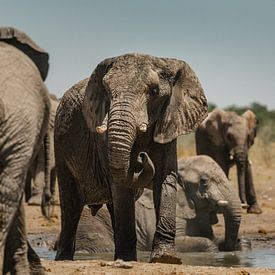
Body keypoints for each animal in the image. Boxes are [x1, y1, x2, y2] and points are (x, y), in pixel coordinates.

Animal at [55, 52, 208, 264]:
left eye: (154, 91)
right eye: (107, 91)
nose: (142, 157)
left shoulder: (169, 122)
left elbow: (165, 179)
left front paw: (166, 258)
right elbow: (121, 186)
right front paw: (128, 259)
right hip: (59, 143)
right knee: (70, 205)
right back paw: (64, 259)